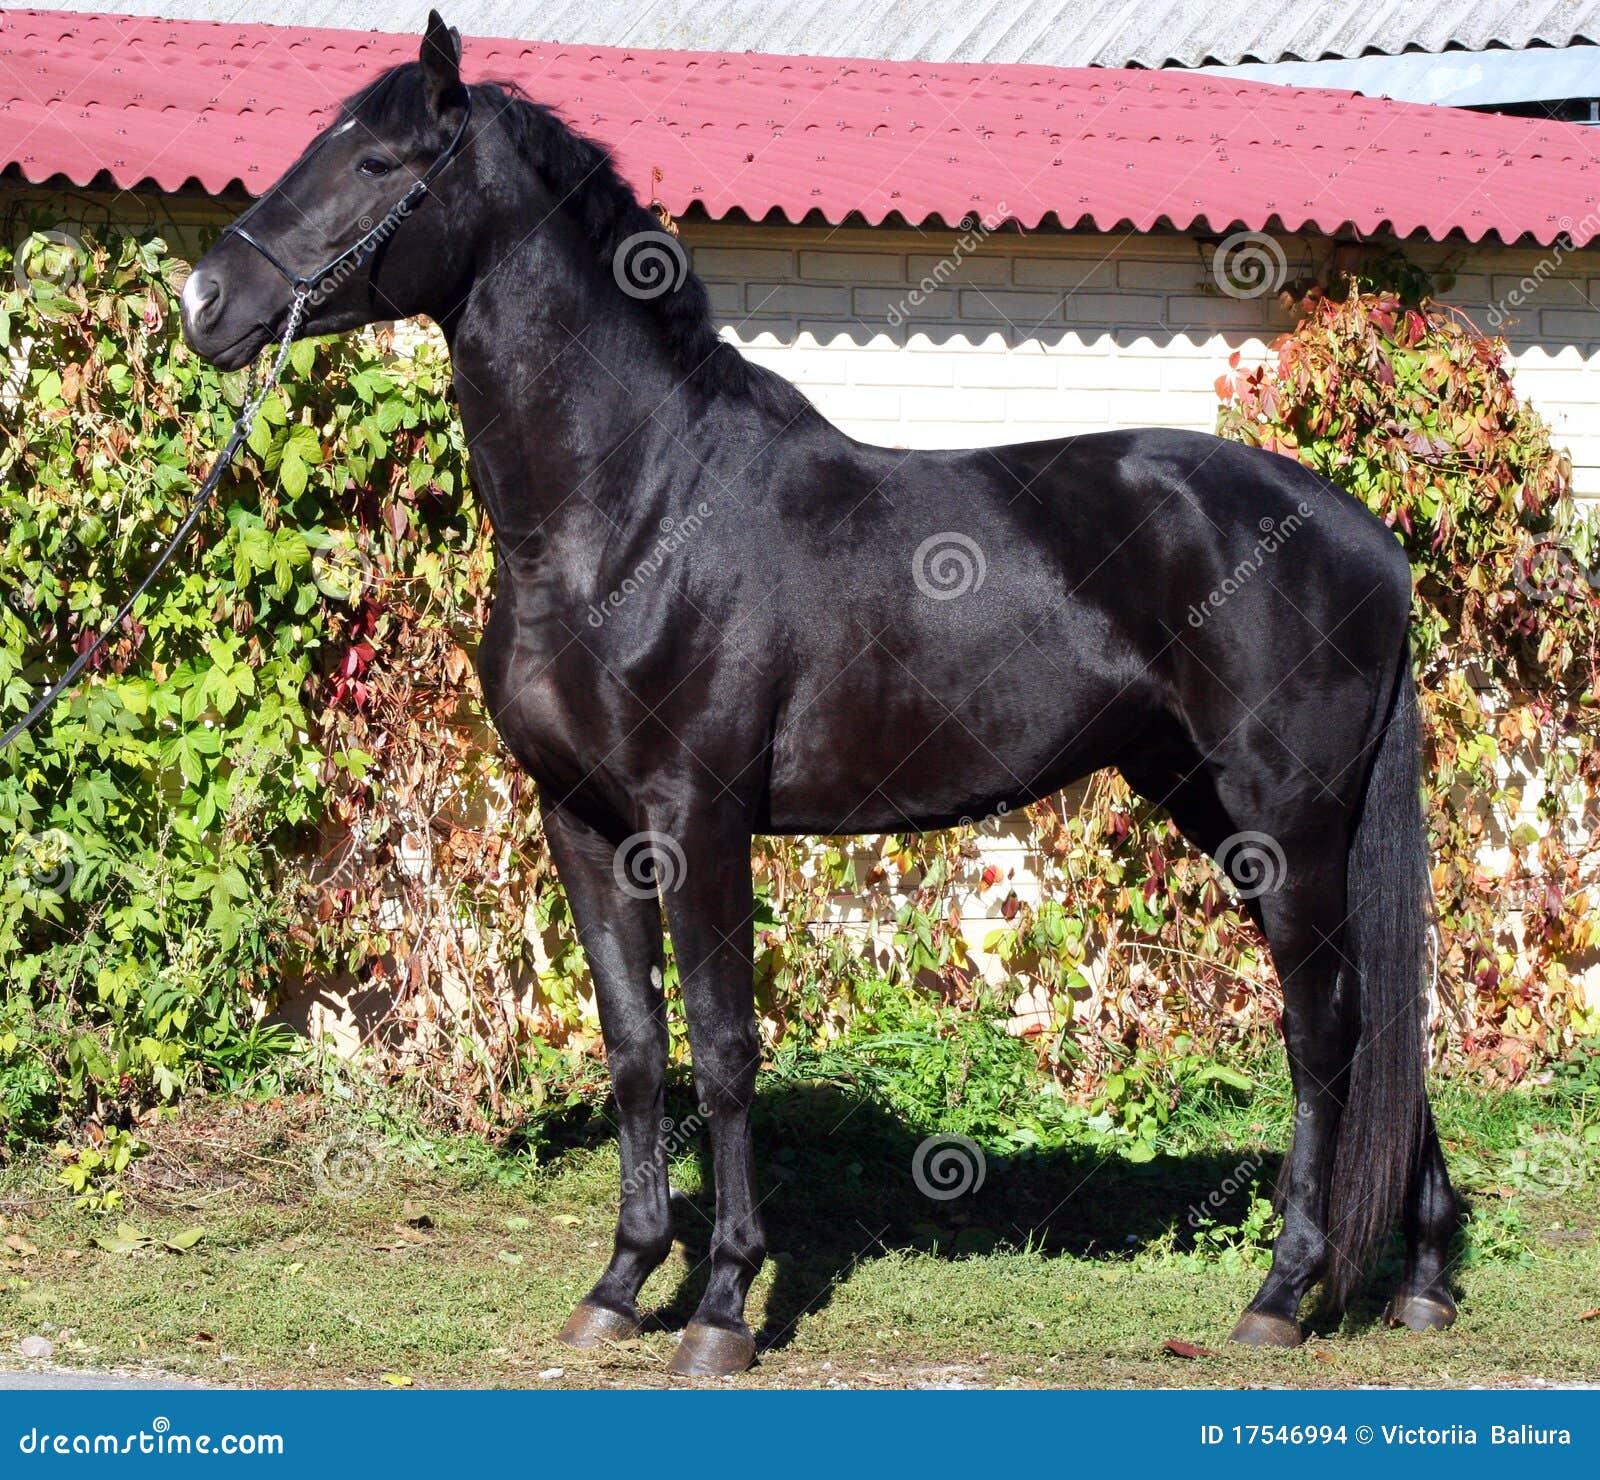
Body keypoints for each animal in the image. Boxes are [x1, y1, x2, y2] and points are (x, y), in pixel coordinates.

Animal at [182, 13, 1461, 1376]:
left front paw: (723, 1306)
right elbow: (636, 1050)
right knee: (1376, 1014)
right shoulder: (581, 823)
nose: (204, 303)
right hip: (1216, 805)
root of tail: (1371, 542)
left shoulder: (694, 820)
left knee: (1327, 1029)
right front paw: (620, 1281)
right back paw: (1422, 1277)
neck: (632, 515)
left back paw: (1282, 1291)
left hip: (1286, 818)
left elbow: (723, 1051)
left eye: (375, 162)